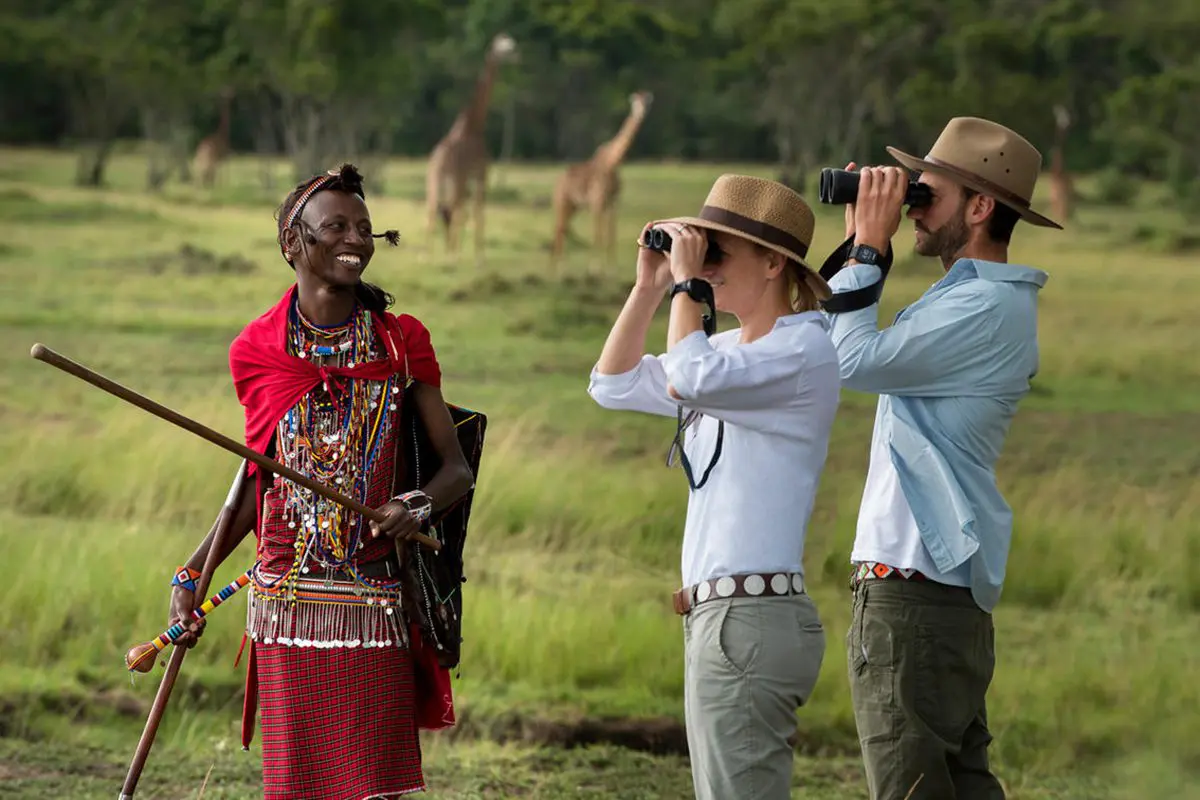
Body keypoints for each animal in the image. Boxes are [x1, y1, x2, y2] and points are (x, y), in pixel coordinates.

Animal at [424, 32, 518, 263]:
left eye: (511, 44)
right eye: (505, 46)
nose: (517, 54)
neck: (473, 125)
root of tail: (438, 161)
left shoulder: (469, 177)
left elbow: (466, 212)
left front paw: (458, 251)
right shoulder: (481, 172)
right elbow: (478, 211)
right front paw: (479, 257)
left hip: (433, 181)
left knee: (433, 210)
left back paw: (428, 255)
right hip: (457, 180)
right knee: (454, 210)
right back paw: (448, 255)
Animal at [552, 92, 657, 273]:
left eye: (646, 102)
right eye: (635, 103)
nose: (641, 114)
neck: (613, 162)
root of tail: (557, 183)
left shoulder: (613, 202)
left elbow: (611, 234)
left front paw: (612, 268)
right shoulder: (597, 201)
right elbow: (598, 234)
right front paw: (594, 267)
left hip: (573, 206)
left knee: (562, 228)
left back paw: (556, 267)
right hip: (563, 202)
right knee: (559, 229)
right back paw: (559, 268)